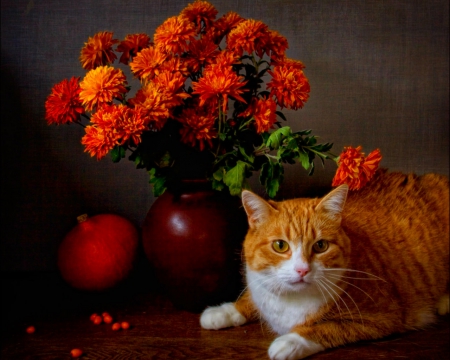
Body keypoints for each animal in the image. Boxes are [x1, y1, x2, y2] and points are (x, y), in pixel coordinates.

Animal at [201, 169, 450, 360]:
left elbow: (329, 328)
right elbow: (248, 300)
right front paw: (223, 311)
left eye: (320, 246)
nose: (302, 269)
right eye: (280, 245)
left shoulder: (381, 317)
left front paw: (291, 341)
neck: (291, 301)